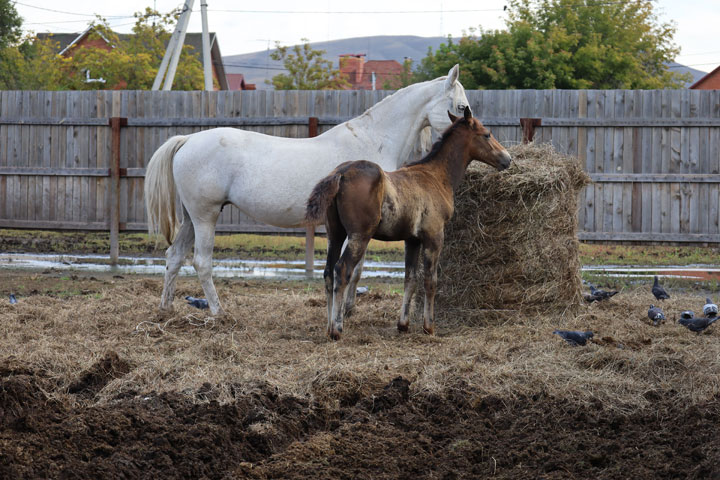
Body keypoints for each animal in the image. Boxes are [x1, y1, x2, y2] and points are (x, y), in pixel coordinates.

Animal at [145, 65, 472, 316]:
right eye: (460, 107)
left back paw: (165, 309)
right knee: (201, 262)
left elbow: (355, 268)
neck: (373, 140)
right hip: (205, 217)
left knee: (174, 257)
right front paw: (344, 310)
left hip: (191, 218)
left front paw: (348, 309)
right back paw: (218, 311)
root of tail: (188, 140)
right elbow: (352, 268)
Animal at [304, 108, 512, 342]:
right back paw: (336, 329)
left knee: (328, 272)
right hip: (359, 235)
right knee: (342, 270)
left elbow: (410, 278)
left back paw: (328, 325)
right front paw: (429, 327)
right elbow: (430, 280)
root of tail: (341, 173)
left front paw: (403, 324)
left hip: (335, 234)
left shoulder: (411, 240)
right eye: (487, 134)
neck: (436, 175)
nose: (507, 158)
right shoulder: (434, 236)